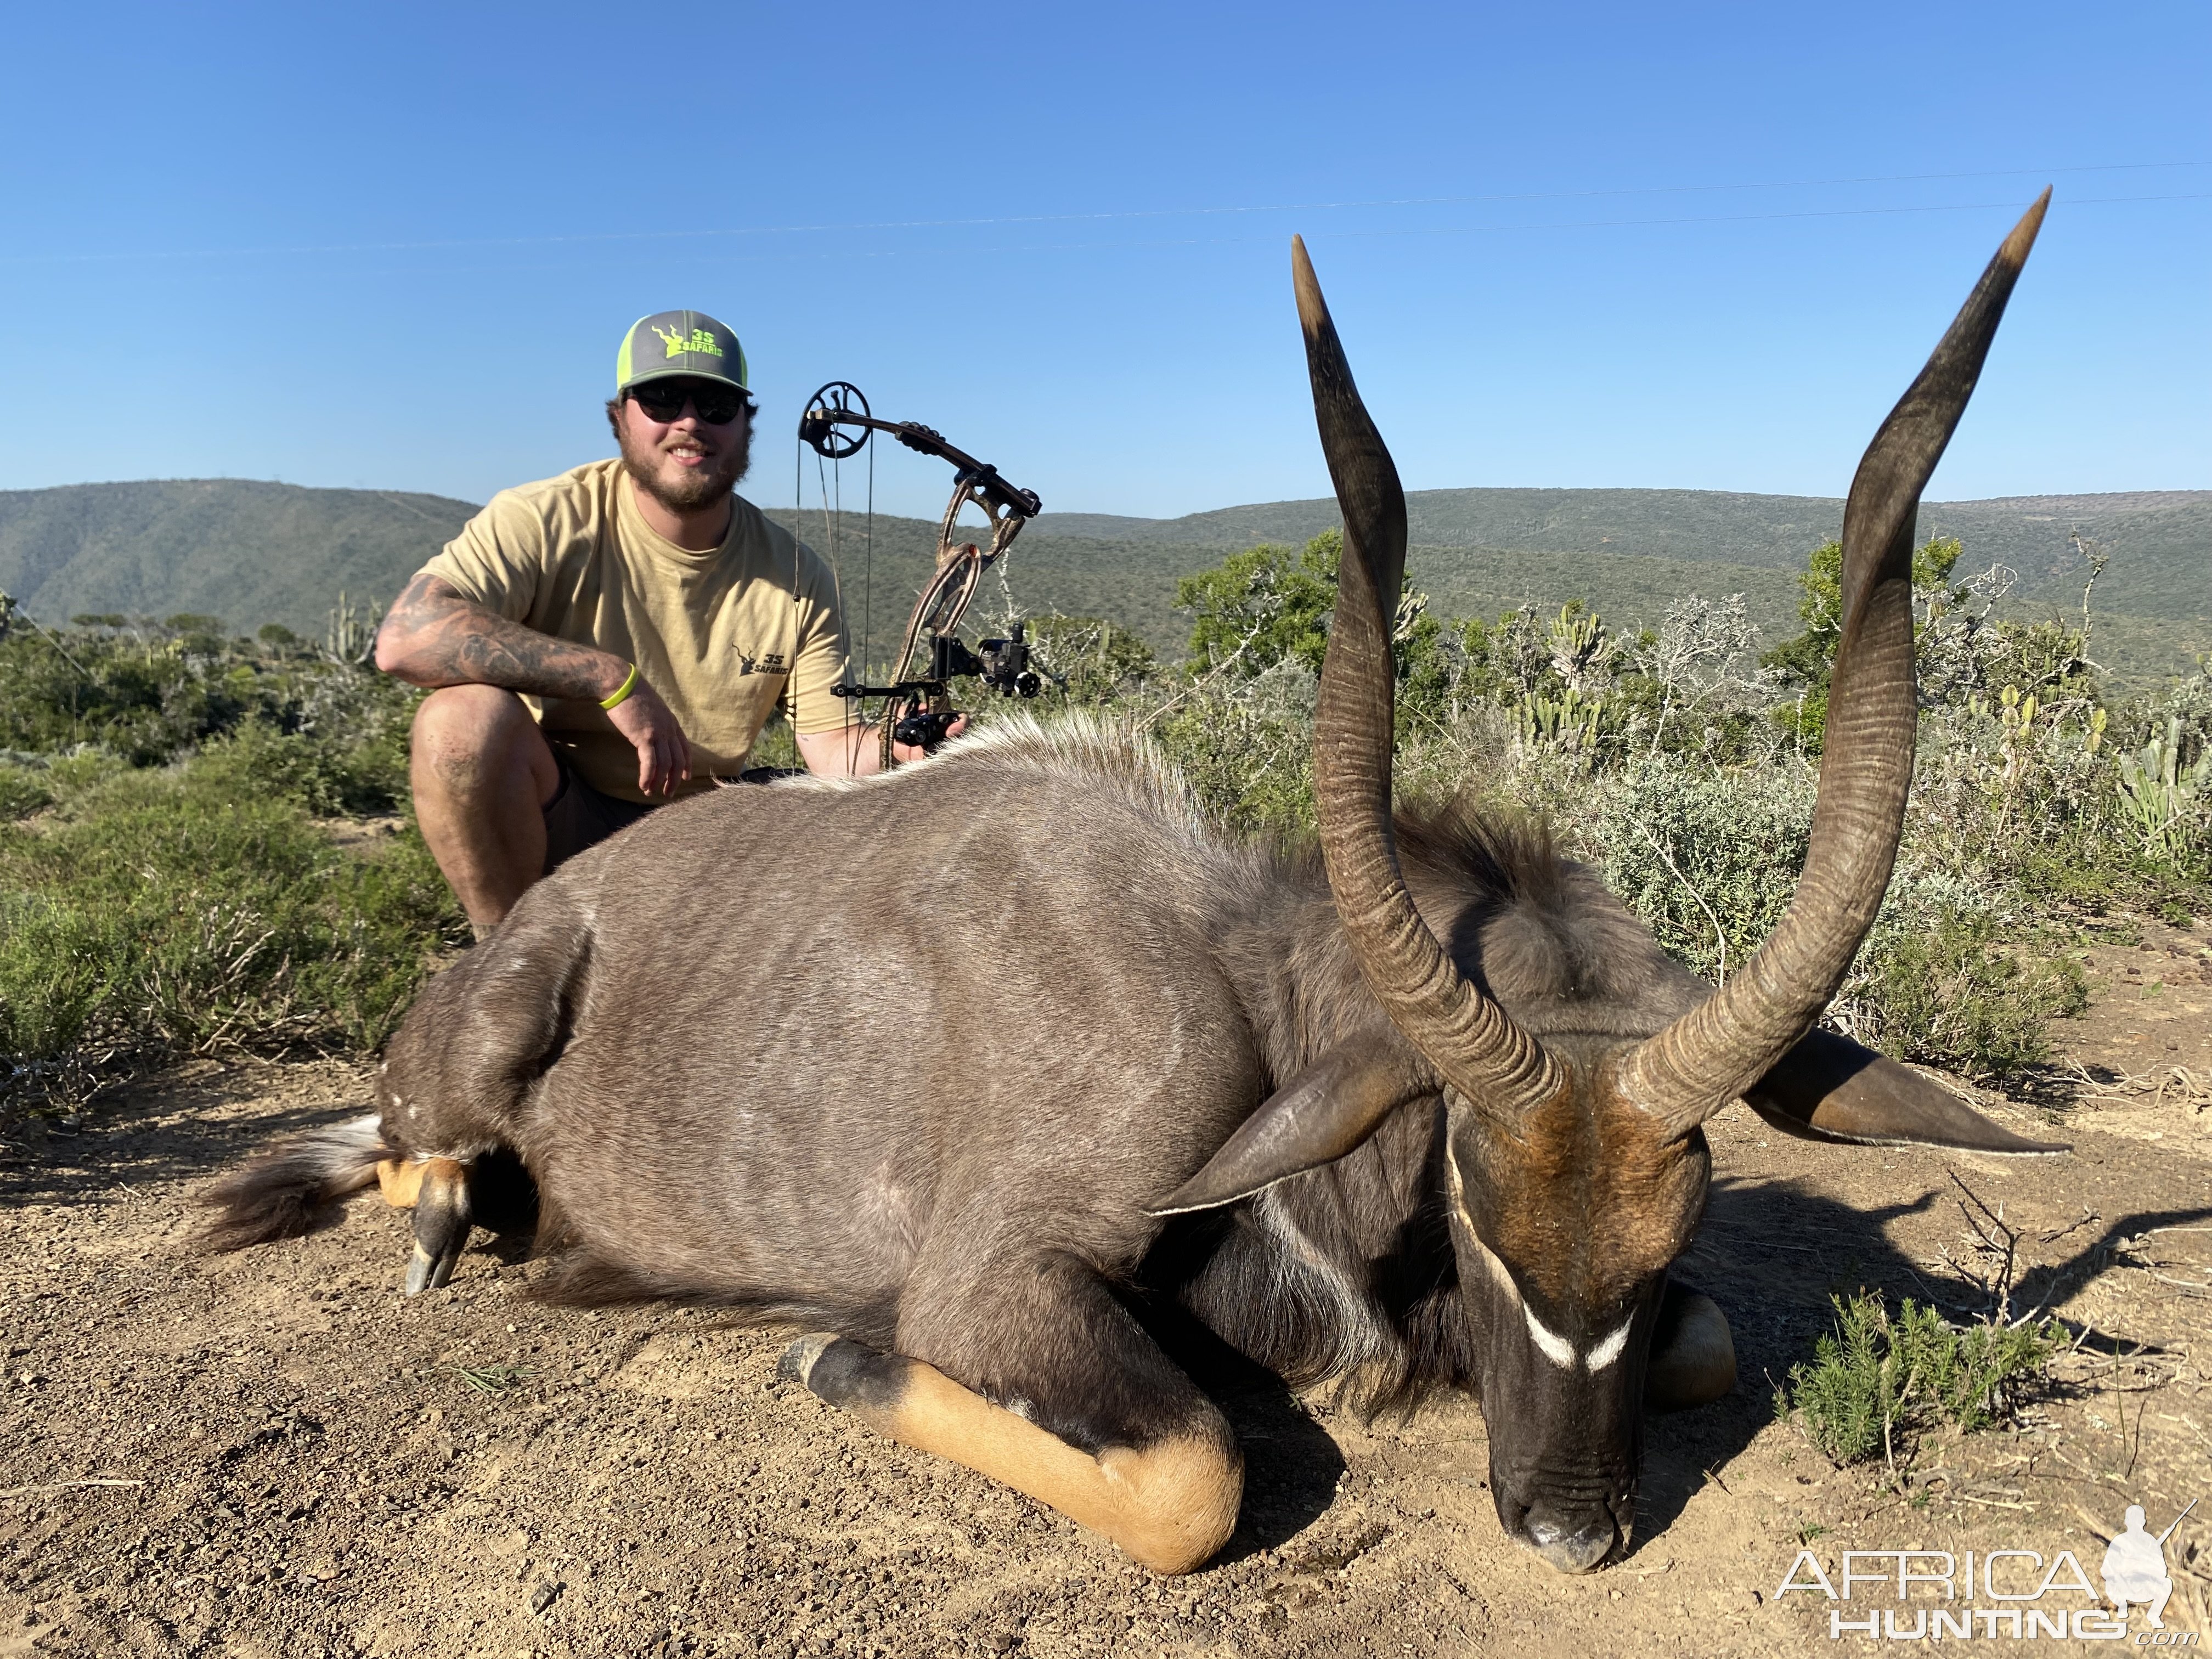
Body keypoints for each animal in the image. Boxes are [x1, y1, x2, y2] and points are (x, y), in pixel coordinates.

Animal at [208, 201, 2052, 1575]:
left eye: (1674, 1238)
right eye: (1475, 1207)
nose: (1569, 1531)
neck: (1242, 982)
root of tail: (545, 927)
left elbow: (1717, 1344)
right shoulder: (997, 1280)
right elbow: (1192, 1479)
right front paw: (829, 1342)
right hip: (485, 1043)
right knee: (415, 1158)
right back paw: (465, 1216)